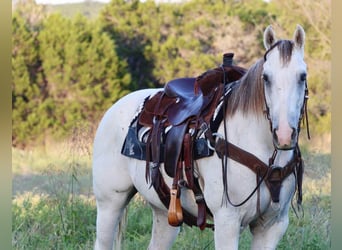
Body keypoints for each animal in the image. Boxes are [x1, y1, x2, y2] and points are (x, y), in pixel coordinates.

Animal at [92, 24, 308, 249]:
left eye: (302, 76)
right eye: (266, 77)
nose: (284, 135)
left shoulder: (272, 225)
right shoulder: (227, 221)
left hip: (164, 214)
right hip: (110, 204)